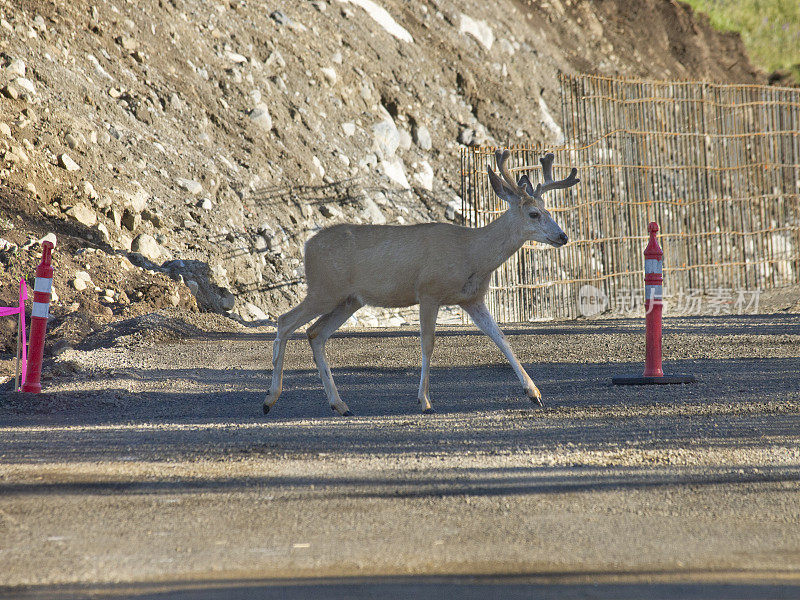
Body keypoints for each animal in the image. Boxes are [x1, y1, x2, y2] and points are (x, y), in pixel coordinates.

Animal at [266, 148, 580, 414]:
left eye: (550, 212)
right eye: (534, 213)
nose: (563, 236)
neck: (472, 253)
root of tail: (307, 245)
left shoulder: (472, 298)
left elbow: (501, 338)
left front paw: (534, 393)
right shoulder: (428, 291)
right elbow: (428, 344)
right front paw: (425, 400)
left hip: (349, 300)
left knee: (315, 333)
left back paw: (340, 404)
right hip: (324, 288)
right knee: (284, 321)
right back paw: (270, 399)